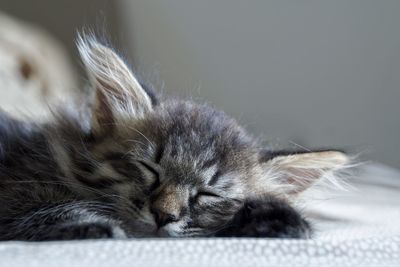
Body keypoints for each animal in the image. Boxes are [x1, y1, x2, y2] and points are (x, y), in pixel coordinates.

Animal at [0, 34, 346, 242]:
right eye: (150, 169)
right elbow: (50, 211)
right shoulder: (17, 195)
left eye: (209, 194)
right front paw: (96, 227)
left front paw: (280, 221)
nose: (164, 216)